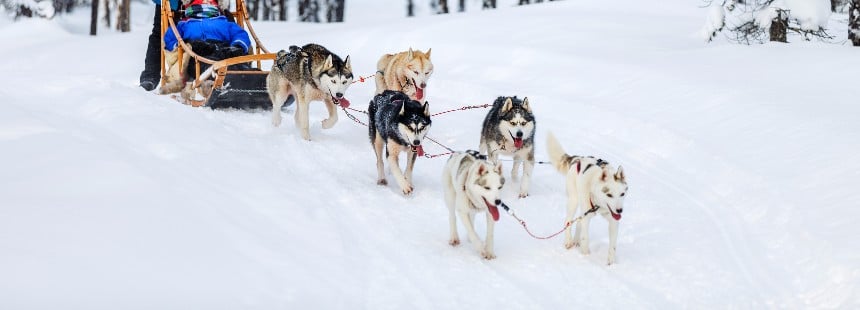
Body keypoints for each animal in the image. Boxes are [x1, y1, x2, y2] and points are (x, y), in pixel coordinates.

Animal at [548, 132, 628, 266]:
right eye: (609, 195)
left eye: (622, 194)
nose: (619, 211)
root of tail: (577, 159)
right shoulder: (587, 217)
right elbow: (585, 238)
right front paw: (585, 256)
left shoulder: (613, 221)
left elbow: (612, 245)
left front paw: (611, 263)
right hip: (574, 201)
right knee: (568, 221)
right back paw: (569, 241)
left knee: (578, 222)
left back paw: (576, 241)